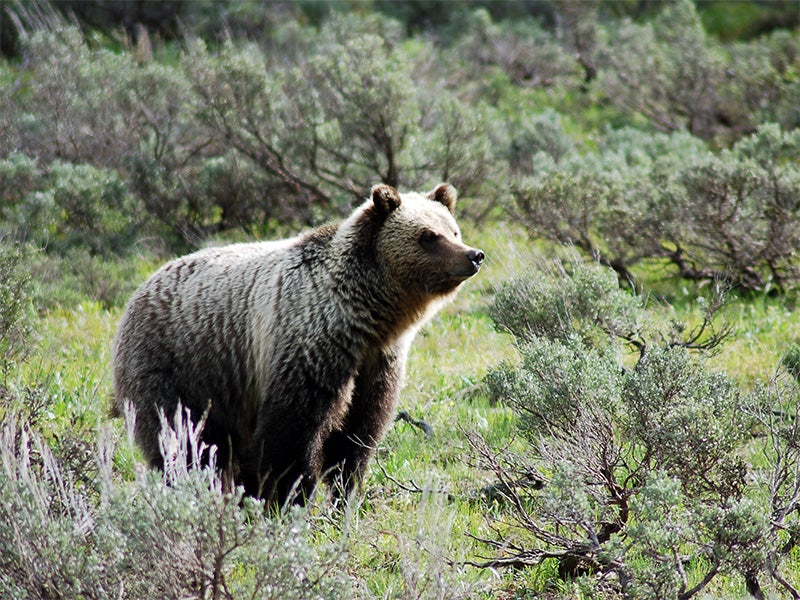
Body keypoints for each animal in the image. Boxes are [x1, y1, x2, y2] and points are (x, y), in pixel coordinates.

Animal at [112, 182, 484, 502]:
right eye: (428, 236)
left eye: (453, 230)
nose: (474, 255)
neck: (368, 317)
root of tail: (138, 290)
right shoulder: (308, 343)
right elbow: (292, 434)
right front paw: (282, 495)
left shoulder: (376, 363)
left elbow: (359, 434)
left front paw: (343, 493)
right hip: (179, 363)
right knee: (184, 438)